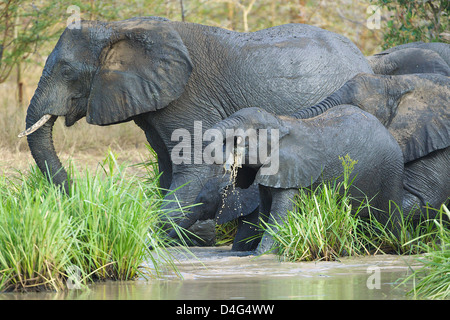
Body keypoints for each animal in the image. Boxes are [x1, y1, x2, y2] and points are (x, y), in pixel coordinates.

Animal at [212, 105, 404, 255]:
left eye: (257, 130)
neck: (281, 122)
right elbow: (264, 217)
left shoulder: (293, 174)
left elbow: (279, 222)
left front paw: (261, 256)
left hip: (391, 171)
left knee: (390, 219)